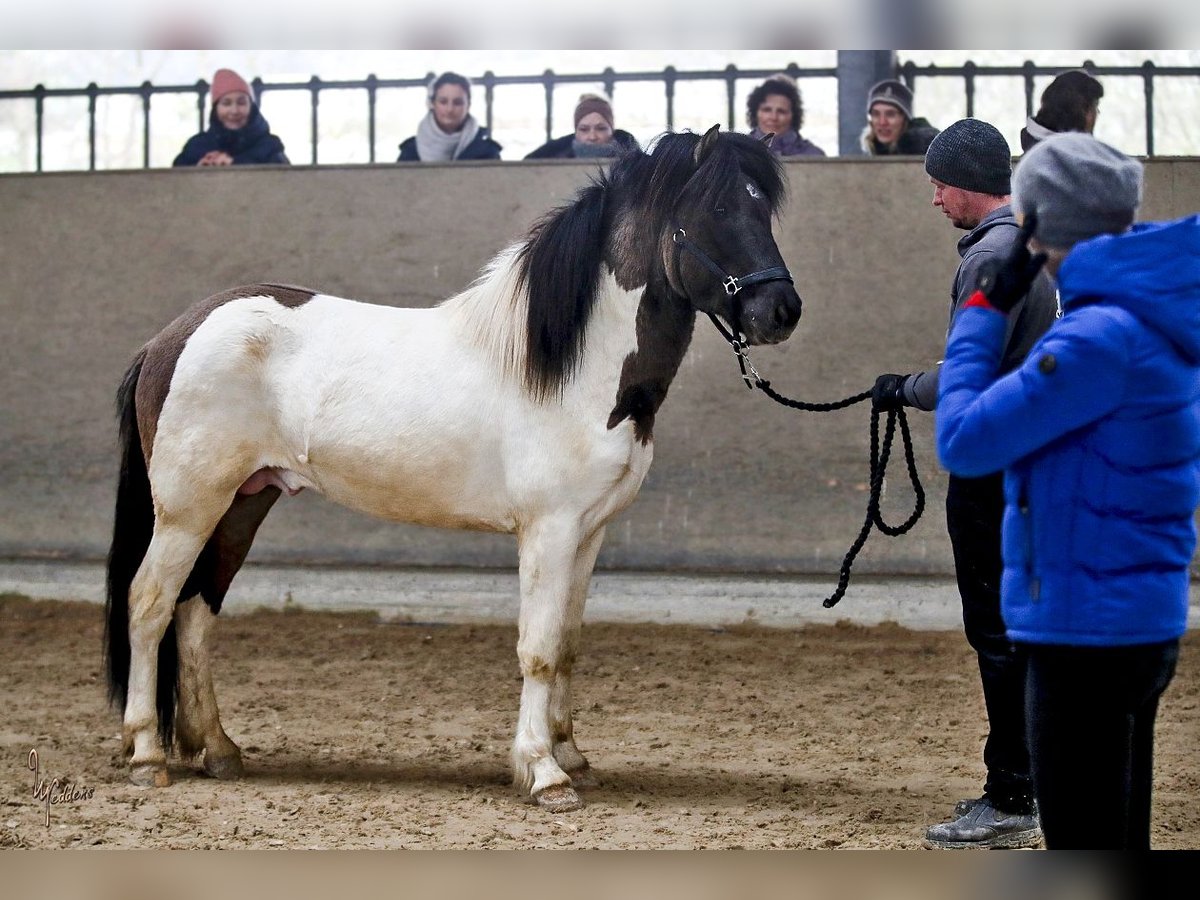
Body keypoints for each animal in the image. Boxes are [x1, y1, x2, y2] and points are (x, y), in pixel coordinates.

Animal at [103, 125, 796, 811]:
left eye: (764, 207)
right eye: (716, 210)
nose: (781, 311)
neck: (574, 368)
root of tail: (172, 337)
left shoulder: (589, 532)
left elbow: (568, 644)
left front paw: (571, 754)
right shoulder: (549, 530)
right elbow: (538, 649)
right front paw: (544, 772)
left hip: (243, 504)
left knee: (195, 613)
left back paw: (218, 750)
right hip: (189, 508)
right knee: (150, 604)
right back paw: (148, 755)